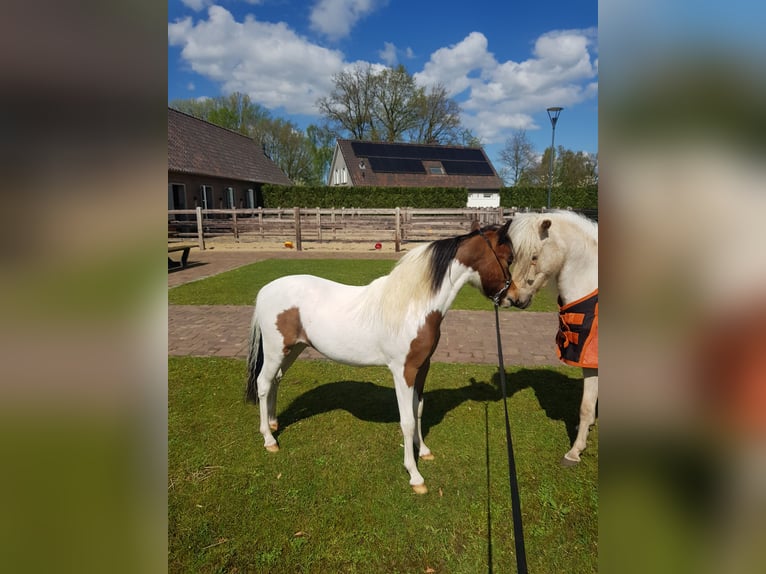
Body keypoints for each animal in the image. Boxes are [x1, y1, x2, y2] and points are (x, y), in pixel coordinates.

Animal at [246, 220, 516, 496]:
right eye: (509, 258)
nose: (515, 298)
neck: (414, 306)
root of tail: (265, 291)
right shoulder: (403, 371)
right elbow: (407, 421)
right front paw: (415, 475)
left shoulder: (422, 368)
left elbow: (418, 410)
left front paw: (424, 450)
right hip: (275, 350)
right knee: (263, 384)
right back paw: (269, 439)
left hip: (293, 349)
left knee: (276, 380)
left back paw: (274, 423)